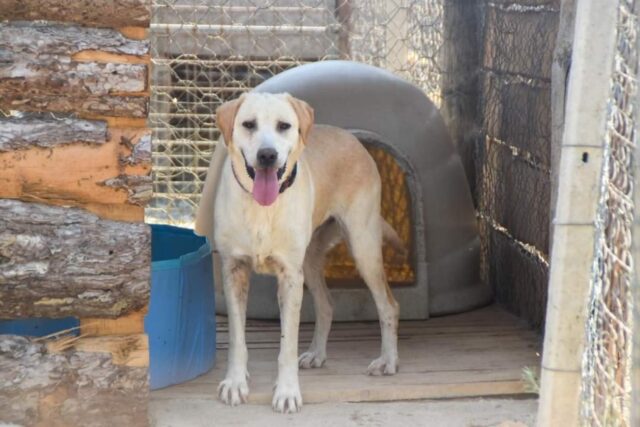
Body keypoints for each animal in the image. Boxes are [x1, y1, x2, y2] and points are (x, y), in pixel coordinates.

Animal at [205, 93, 400, 414]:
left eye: (284, 126)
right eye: (248, 124)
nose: (267, 155)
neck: (262, 209)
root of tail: (353, 139)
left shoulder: (290, 277)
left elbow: (287, 343)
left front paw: (286, 392)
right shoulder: (234, 271)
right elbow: (236, 338)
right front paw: (235, 382)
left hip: (363, 247)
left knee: (389, 306)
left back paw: (388, 360)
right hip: (309, 262)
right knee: (327, 305)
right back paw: (317, 354)